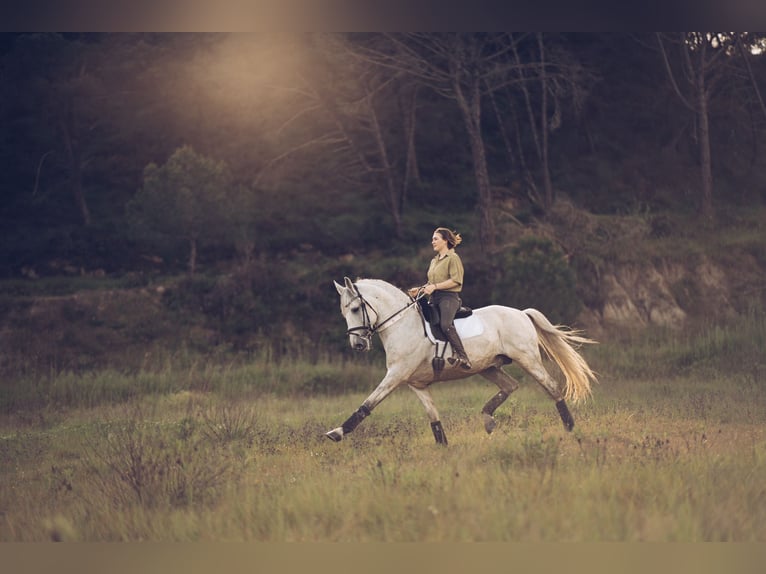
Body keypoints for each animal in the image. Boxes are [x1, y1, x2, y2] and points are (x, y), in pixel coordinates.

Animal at [326, 278, 600, 446]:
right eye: (343, 311)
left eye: (355, 309)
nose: (358, 345)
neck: (401, 324)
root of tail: (521, 313)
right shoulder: (417, 384)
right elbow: (434, 418)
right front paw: (443, 447)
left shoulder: (396, 375)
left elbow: (368, 404)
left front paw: (336, 433)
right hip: (489, 367)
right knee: (510, 386)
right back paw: (488, 420)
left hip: (527, 359)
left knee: (552, 387)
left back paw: (570, 428)